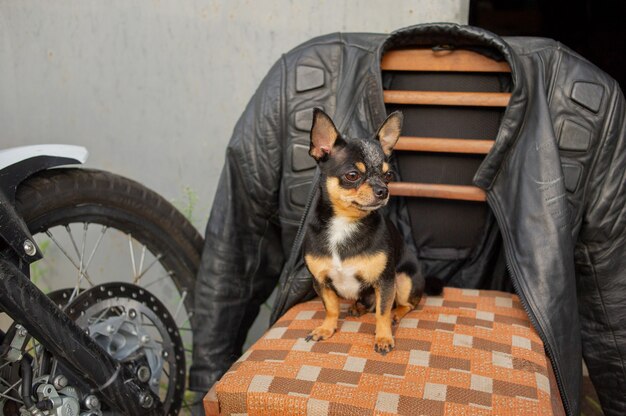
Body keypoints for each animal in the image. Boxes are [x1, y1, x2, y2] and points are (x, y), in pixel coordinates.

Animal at [302, 108, 438, 354]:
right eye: (352, 175)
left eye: (388, 176)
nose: (383, 190)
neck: (345, 223)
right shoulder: (321, 281)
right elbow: (331, 308)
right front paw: (327, 329)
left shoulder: (385, 281)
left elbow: (382, 312)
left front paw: (383, 338)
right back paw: (358, 307)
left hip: (403, 278)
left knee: (407, 304)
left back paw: (395, 314)